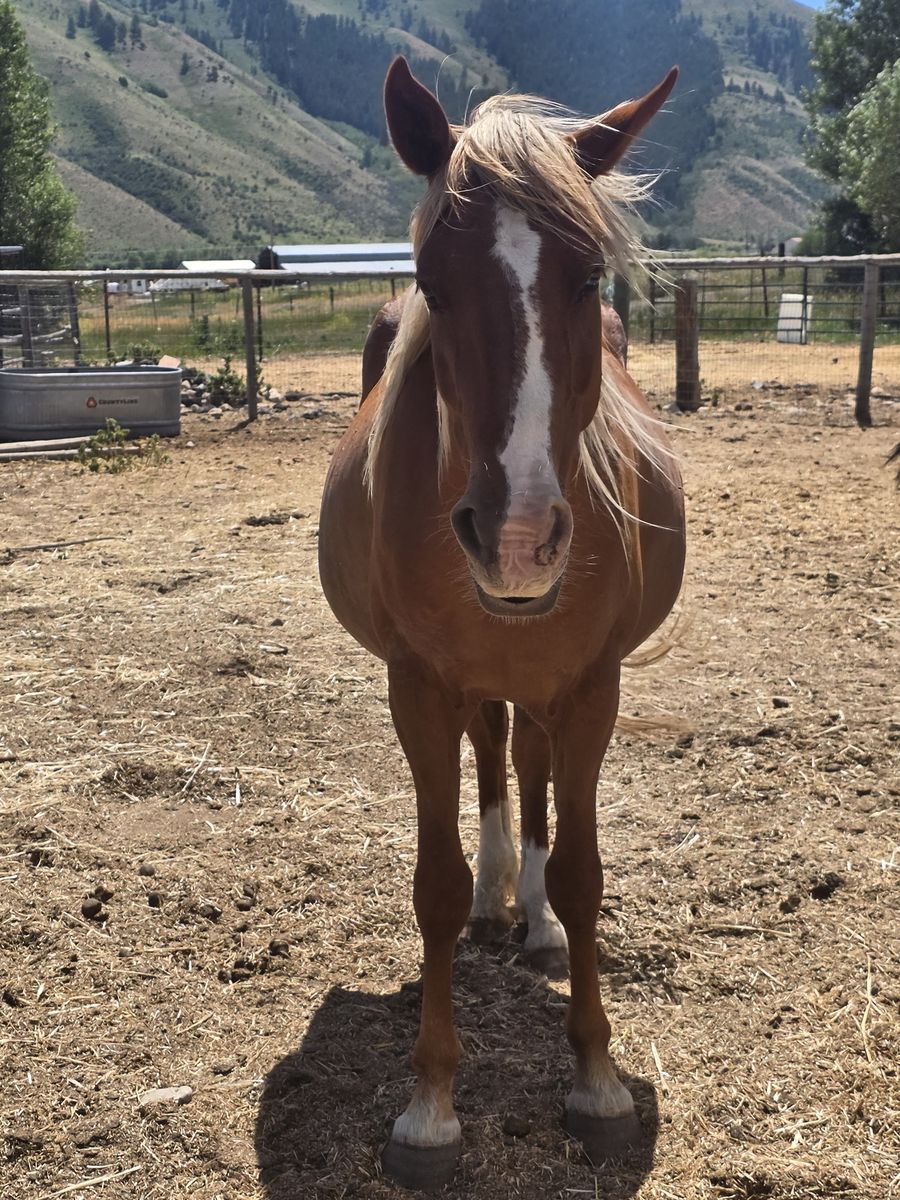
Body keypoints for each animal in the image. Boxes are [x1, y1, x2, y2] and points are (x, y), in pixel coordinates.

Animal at [318, 57, 685, 1189]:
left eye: (591, 280)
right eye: (434, 282)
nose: (517, 539)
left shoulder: (594, 684)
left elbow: (583, 871)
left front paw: (598, 1082)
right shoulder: (418, 684)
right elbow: (433, 886)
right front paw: (431, 1105)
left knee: (526, 767)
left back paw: (529, 916)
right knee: (495, 760)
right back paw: (495, 896)